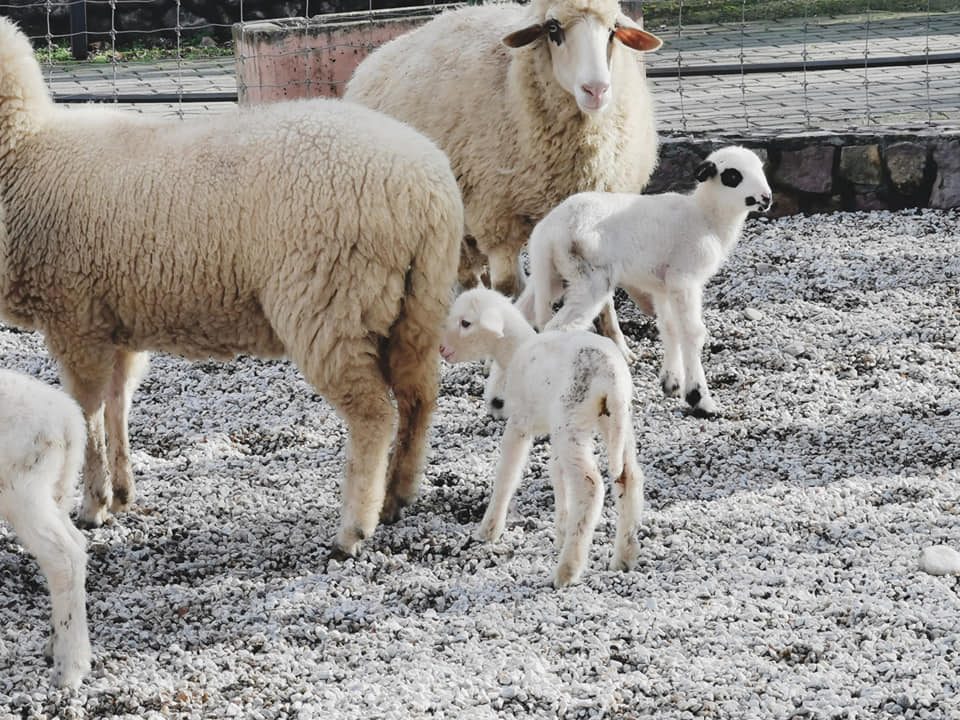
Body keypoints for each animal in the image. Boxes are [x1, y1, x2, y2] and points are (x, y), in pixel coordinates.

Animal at [0, 18, 464, 556]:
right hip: (418, 304)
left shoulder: (74, 318)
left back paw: (353, 529)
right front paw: (121, 493)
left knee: (373, 415)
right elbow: (118, 403)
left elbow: (87, 413)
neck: (25, 149)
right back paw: (397, 497)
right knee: (418, 399)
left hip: (329, 305)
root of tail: (424, 188)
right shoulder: (113, 319)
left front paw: (93, 506)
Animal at [0, 368, 91, 688]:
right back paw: (55, 646)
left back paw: (70, 669)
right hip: (54, 490)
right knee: (77, 544)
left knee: (64, 559)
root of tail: (68, 419)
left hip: (23, 492)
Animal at [346, 0, 668, 296]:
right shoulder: (495, 218)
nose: (596, 90)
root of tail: (372, 59)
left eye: (613, 30)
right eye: (553, 29)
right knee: (467, 279)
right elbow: (506, 286)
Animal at [438, 290, 640, 588]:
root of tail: (610, 377)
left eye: (465, 323)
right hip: (612, 422)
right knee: (628, 476)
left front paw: (488, 530)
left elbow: (507, 475)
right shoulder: (552, 430)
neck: (514, 352)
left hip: (572, 422)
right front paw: (561, 529)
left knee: (590, 486)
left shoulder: (520, 423)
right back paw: (623, 558)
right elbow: (556, 474)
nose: (442, 350)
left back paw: (567, 570)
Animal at [516, 144, 772, 420]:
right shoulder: (684, 280)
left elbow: (669, 328)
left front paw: (671, 383)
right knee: (556, 328)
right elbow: (692, 333)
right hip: (589, 278)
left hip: (551, 276)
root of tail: (549, 232)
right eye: (732, 175)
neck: (706, 218)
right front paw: (699, 398)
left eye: (760, 169)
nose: (766, 198)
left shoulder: (662, 287)